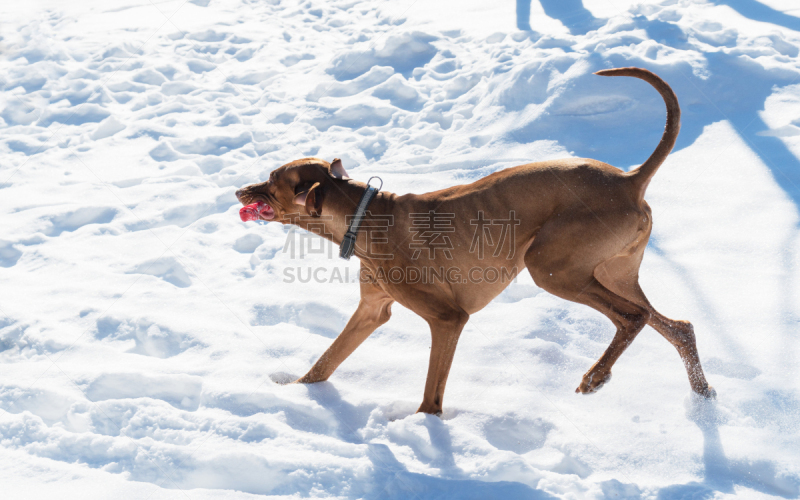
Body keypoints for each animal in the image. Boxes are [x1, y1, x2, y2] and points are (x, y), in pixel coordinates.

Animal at [236, 68, 712, 416]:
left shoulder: (448, 318)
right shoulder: (371, 311)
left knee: (632, 318)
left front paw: (422, 433)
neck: (365, 215)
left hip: (551, 268)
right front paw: (293, 393)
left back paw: (595, 377)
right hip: (612, 273)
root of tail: (630, 180)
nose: (239, 190)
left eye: (272, 180)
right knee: (677, 327)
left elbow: (431, 396)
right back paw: (704, 398)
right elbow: (323, 364)